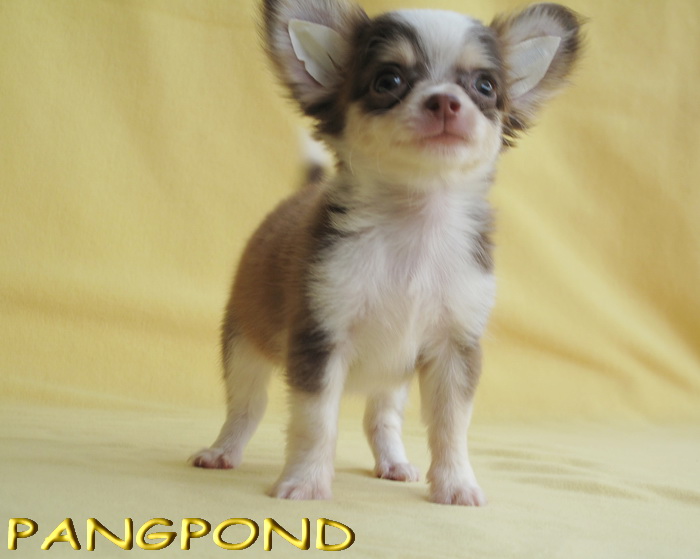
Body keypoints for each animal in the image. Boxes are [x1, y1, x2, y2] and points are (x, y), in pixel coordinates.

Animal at [191, 0, 583, 505]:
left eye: (484, 86)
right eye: (388, 81)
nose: (445, 101)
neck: (413, 224)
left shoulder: (454, 349)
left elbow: (451, 426)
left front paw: (456, 484)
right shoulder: (320, 338)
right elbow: (315, 422)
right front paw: (306, 482)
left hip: (392, 375)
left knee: (380, 417)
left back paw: (393, 463)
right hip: (243, 343)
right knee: (246, 406)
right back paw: (222, 451)